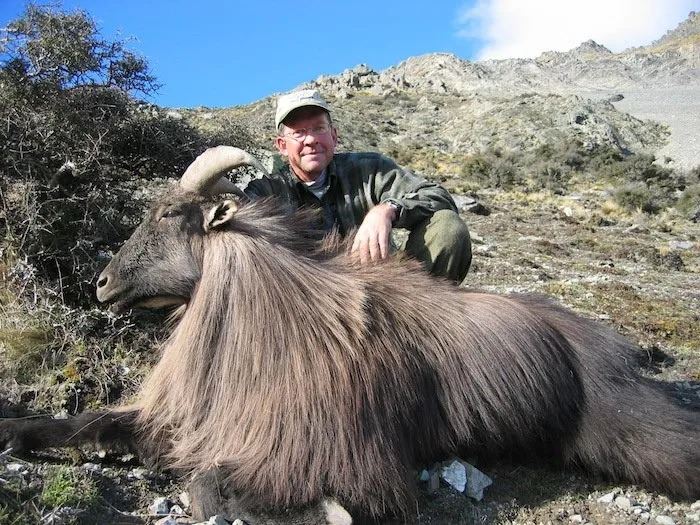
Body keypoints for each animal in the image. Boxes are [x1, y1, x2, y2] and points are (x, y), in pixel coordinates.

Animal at [1, 146, 698, 524]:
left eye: (170, 216)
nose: (102, 284)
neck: (265, 312)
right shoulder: (185, 418)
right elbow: (90, 425)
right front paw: (14, 431)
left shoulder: (324, 448)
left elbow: (210, 487)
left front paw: (317, 511)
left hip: (621, 429)